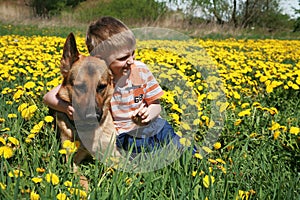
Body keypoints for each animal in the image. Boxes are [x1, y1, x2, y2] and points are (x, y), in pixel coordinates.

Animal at [54, 32, 120, 189]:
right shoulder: (71, 160)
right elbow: (82, 178)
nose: (92, 116)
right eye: (80, 86)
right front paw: (87, 189)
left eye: (101, 87)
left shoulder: (113, 154)